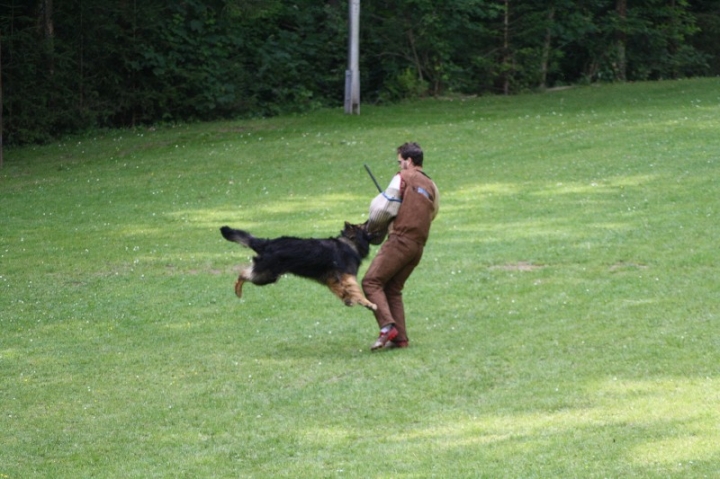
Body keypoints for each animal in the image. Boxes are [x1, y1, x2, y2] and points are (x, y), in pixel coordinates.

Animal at [219, 222, 376, 312]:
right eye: (365, 226)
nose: (370, 220)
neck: (349, 243)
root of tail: (267, 243)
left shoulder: (331, 279)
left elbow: (342, 291)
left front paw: (348, 299)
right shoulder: (347, 276)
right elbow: (356, 291)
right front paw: (368, 303)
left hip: (267, 275)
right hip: (266, 276)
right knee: (243, 274)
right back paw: (238, 290)